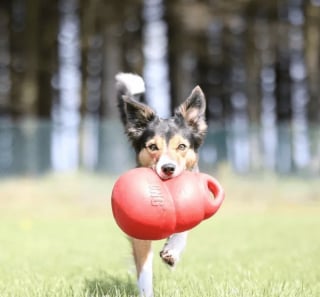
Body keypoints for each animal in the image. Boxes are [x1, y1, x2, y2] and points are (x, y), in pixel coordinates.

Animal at [115, 72, 208, 296]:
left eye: (181, 146)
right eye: (152, 147)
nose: (168, 168)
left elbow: (181, 231)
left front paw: (171, 252)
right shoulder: (139, 235)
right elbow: (144, 270)